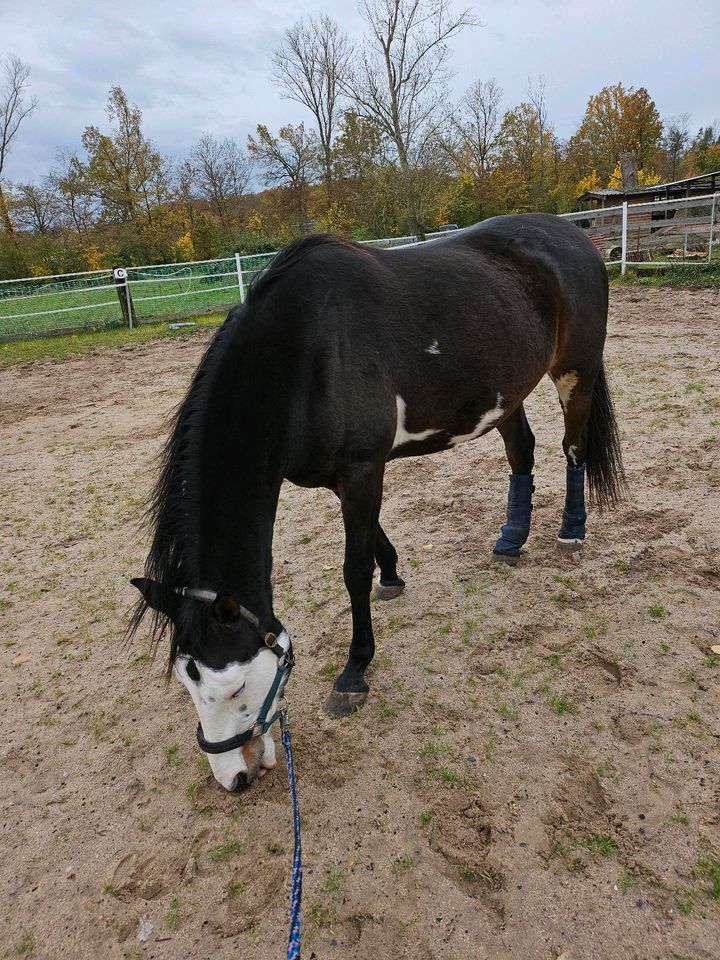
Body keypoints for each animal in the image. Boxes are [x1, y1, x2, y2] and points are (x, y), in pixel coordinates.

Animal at [129, 214, 624, 792]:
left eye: (233, 688)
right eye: (187, 686)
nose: (235, 775)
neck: (304, 353)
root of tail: (574, 234)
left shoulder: (363, 467)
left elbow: (353, 569)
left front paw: (355, 671)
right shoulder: (342, 475)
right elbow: (374, 541)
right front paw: (393, 575)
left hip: (575, 371)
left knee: (574, 448)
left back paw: (571, 531)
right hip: (507, 392)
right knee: (522, 451)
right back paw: (511, 540)